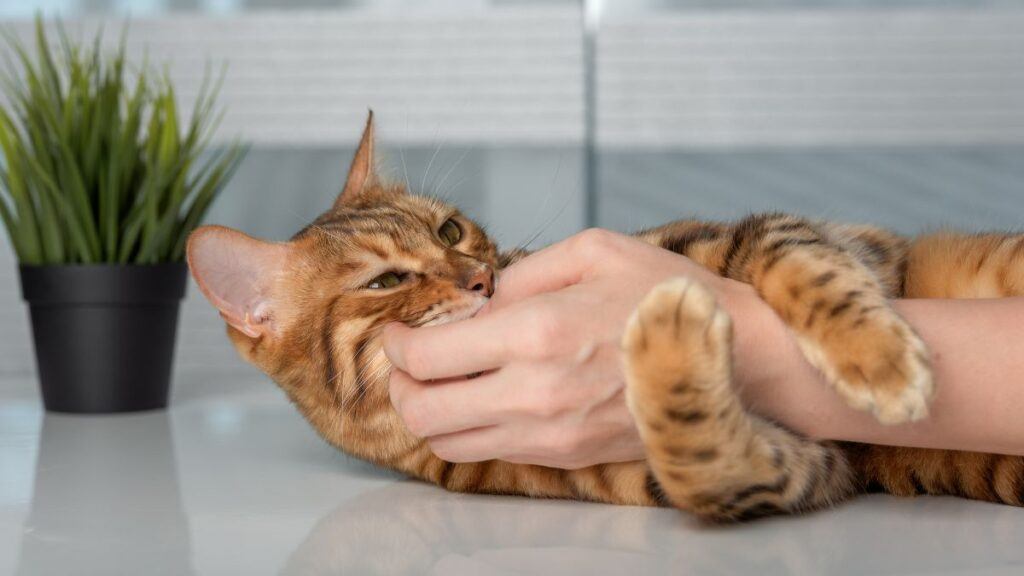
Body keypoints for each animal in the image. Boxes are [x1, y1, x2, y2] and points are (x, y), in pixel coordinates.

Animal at [186, 112, 1024, 520]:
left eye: (451, 231)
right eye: (387, 279)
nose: (482, 278)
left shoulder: (751, 233)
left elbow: (800, 266)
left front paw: (879, 361)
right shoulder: (792, 467)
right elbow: (697, 456)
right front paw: (667, 342)